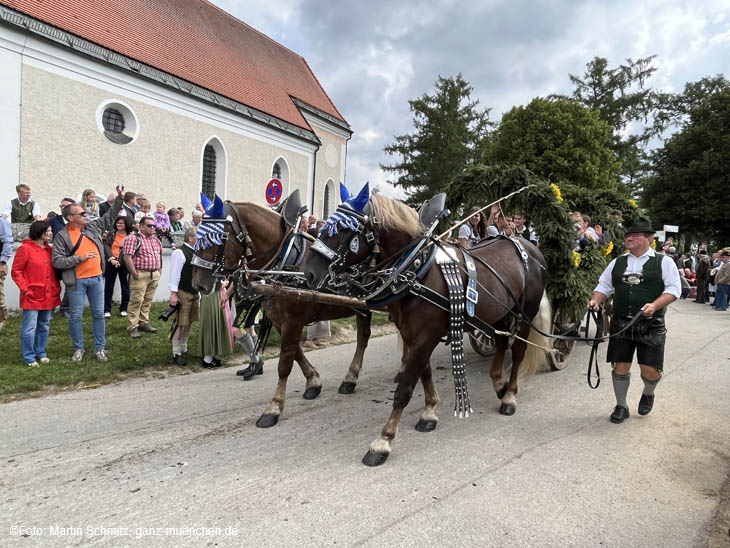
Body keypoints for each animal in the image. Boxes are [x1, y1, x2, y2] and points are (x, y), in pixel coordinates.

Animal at [191, 201, 372, 428]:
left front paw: (274, 408)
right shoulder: (280, 321)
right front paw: (313, 382)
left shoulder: (293, 321)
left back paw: (351, 378)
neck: (286, 262)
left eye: (215, 237)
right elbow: (296, 354)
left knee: (363, 338)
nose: (198, 284)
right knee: (364, 337)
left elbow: (284, 364)